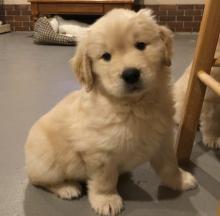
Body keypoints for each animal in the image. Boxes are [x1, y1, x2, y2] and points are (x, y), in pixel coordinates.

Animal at [24, 9, 197, 215]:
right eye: (106, 56)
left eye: (141, 45)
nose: (131, 74)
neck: (133, 106)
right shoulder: (99, 153)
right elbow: (104, 180)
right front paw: (106, 200)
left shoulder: (162, 139)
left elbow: (170, 165)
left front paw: (180, 181)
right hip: (47, 163)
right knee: (39, 181)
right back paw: (67, 188)